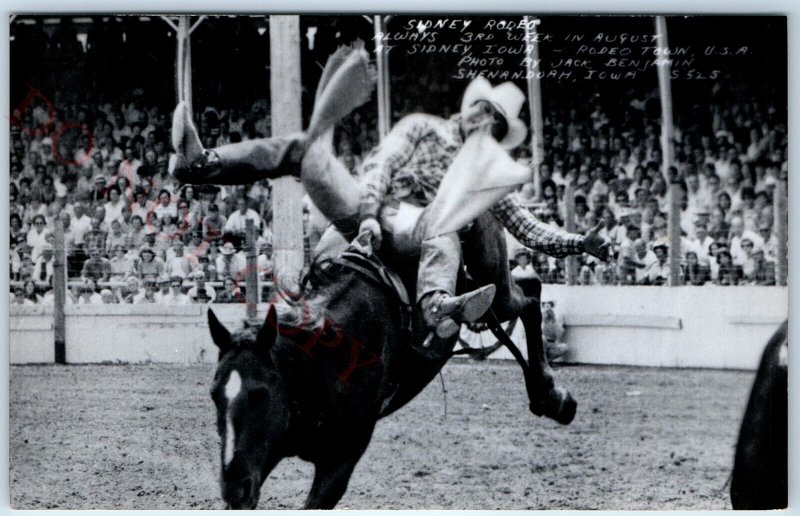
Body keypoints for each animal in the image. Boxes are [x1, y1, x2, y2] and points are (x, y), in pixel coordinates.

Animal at [203, 241, 572, 508]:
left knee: (530, 295)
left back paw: (553, 397)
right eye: (214, 395)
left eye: (261, 393)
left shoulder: (340, 460)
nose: (233, 487)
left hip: (489, 282)